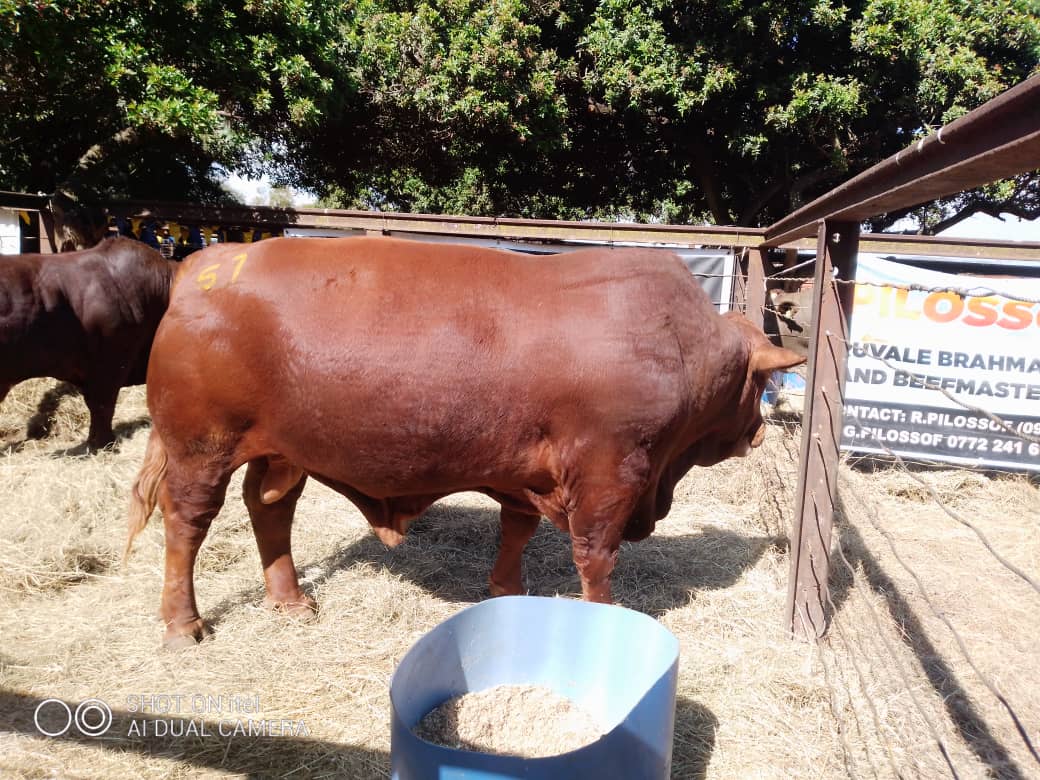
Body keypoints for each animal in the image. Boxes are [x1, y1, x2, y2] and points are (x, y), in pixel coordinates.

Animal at [125, 236, 804, 648]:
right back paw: (183, 624)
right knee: (187, 525)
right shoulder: (611, 473)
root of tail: (201, 263)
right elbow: (597, 557)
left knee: (270, 510)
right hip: (200, 447)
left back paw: (290, 601)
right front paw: (602, 615)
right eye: (758, 385)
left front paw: (506, 592)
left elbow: (517, 530)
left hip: (280, 451)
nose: (759, 432)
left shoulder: (526, 471)